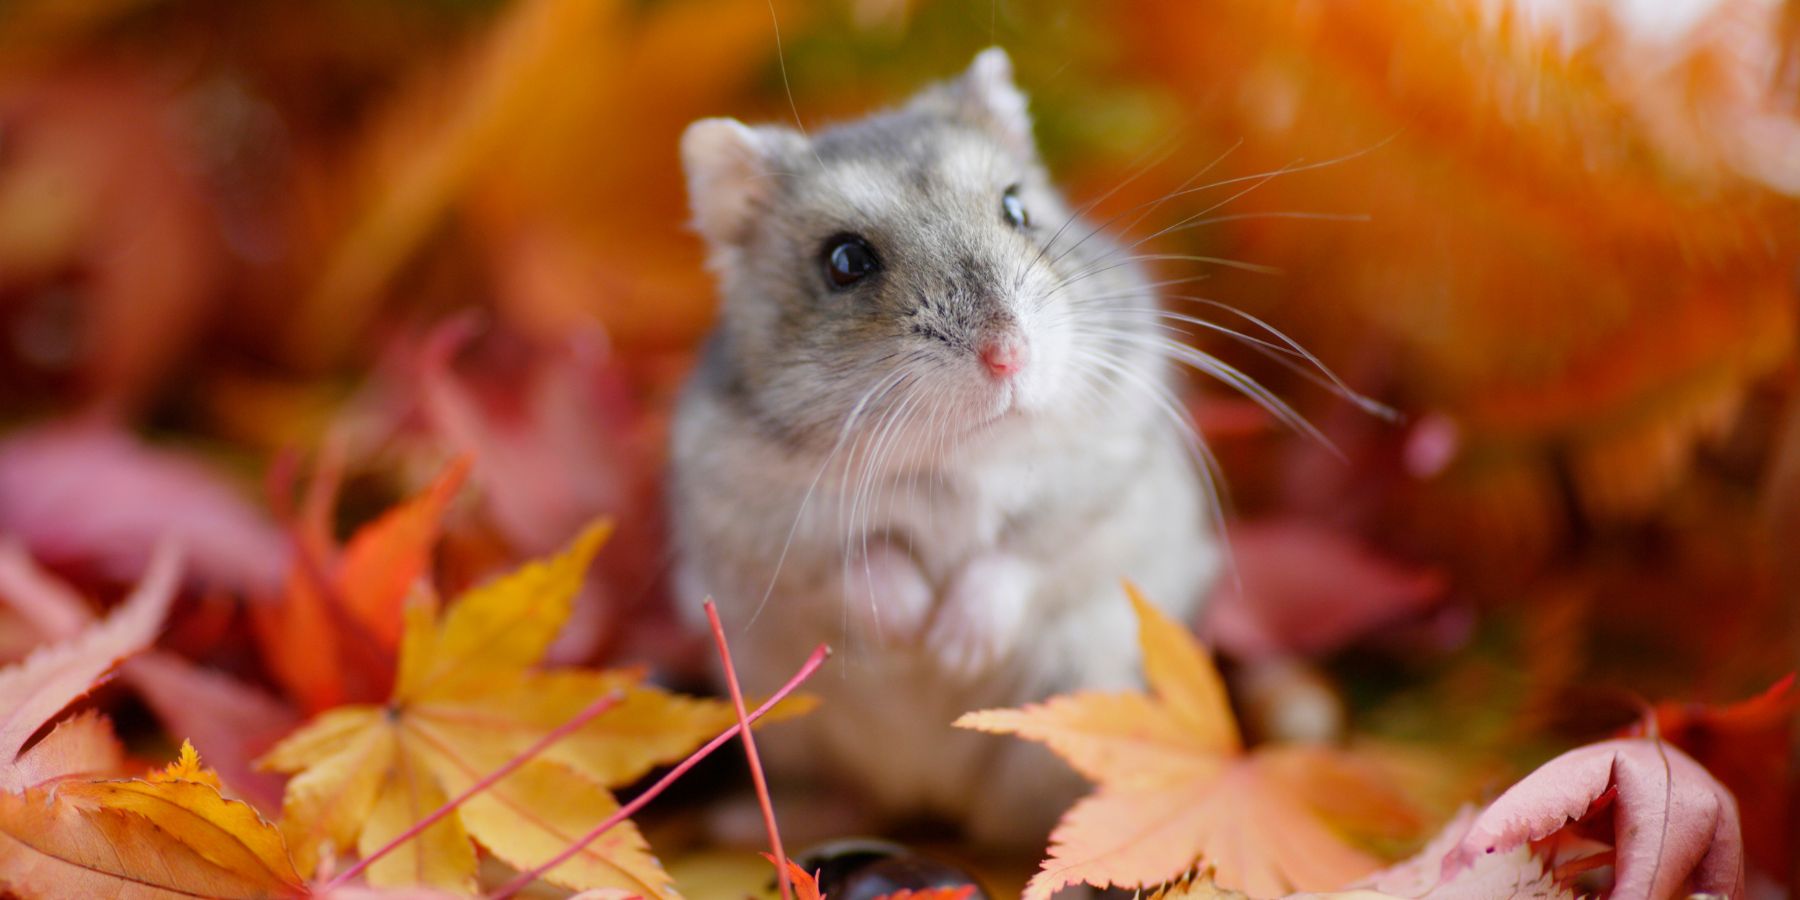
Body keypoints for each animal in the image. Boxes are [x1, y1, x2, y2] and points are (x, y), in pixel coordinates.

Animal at [671, 48, 1219, 844]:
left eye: (1017, 208)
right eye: (844, 261)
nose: (1008, 355)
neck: (958, 456)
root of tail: (933, 800)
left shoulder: (1106, 482)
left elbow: (1025, 551)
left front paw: (955, 651)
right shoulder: (755, 522)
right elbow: (855, 558)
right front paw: (913, 633)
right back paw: (754, 822)